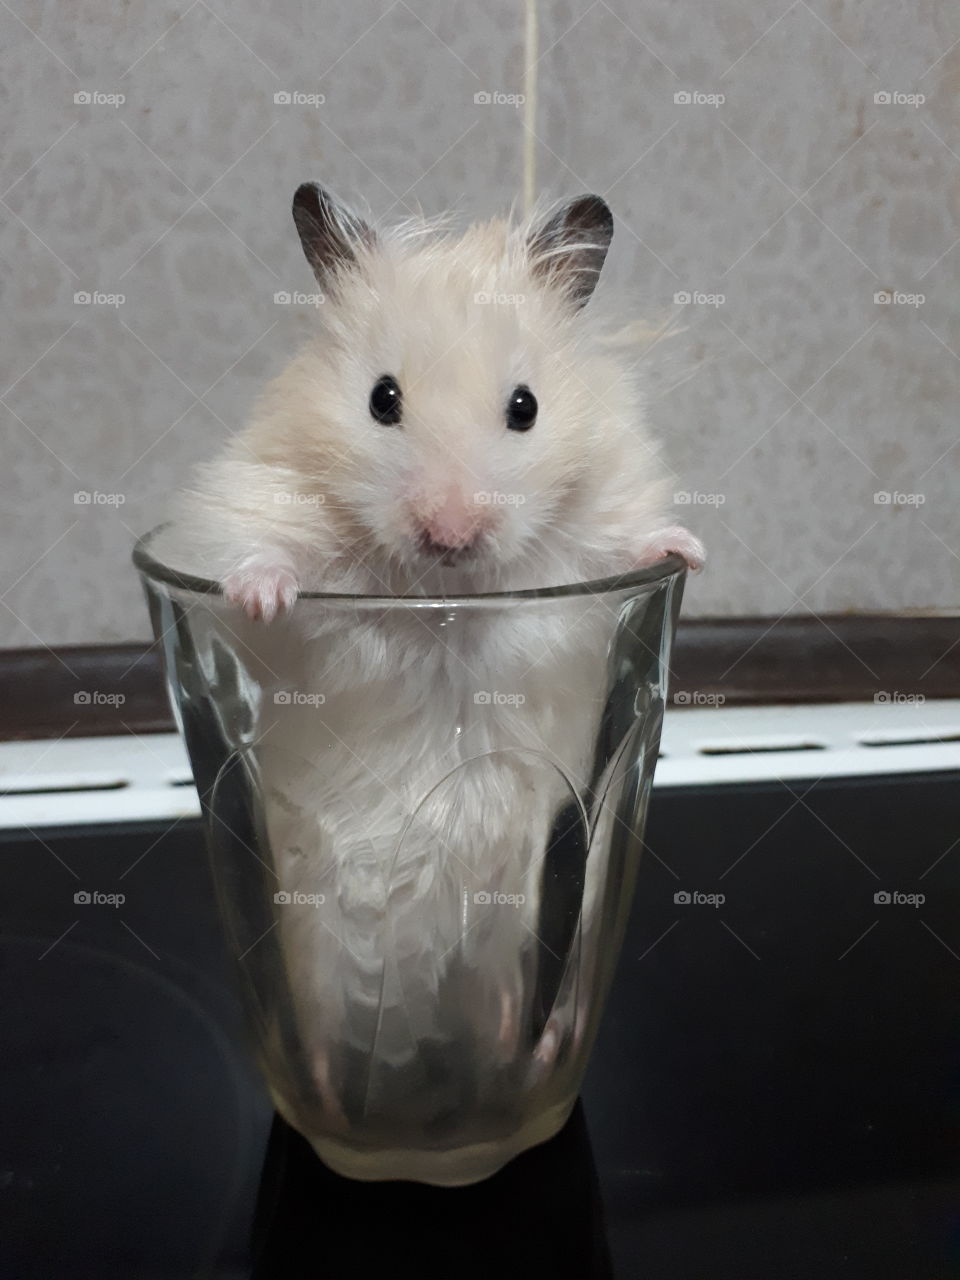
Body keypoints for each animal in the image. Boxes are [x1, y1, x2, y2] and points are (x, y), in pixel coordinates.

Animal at [164, 186, 704, 1140]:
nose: (450, 533)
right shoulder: (260, 494)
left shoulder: (594, 527)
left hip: (505, 937)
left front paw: (690, 549)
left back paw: (518, 1051)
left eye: (525, 406)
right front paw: (263, 595)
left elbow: (626, 539)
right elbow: (264, 551)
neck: (444, 594)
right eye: (383, 399)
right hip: (314, 952)